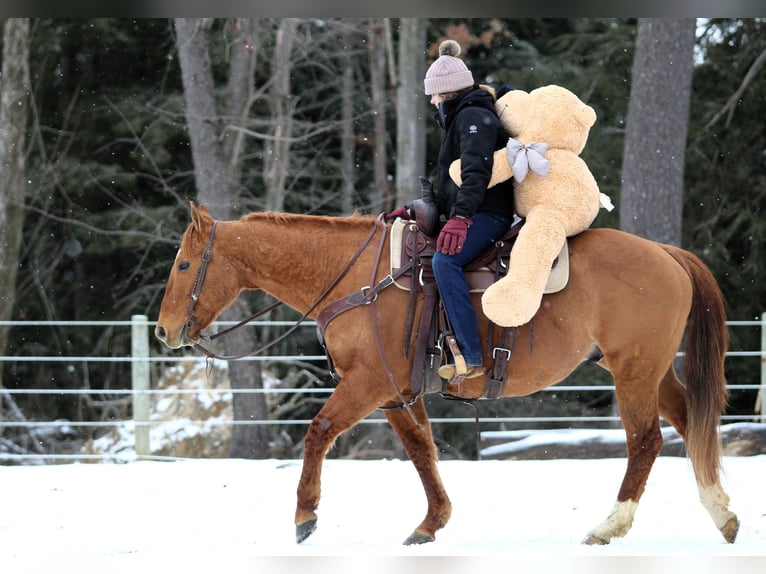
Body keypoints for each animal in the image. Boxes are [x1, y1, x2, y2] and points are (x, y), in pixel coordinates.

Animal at [153, 204, 740, 548]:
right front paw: (431, 521)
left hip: (634, 373)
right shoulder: (396, 392)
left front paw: (304, 515)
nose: (162, 331)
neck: (359, 278)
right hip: (652, 371)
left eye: (183, 265)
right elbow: (421, 450)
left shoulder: (369, 383)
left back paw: (610, 525)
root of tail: (666, 253)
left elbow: (318, 430)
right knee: (691, 424)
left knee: (645, 441)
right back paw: (722, 514)